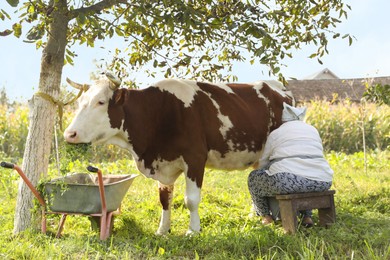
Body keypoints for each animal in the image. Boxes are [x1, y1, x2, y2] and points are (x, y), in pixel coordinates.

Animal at [64, 71, 294, 236]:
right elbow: (164, 200)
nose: (69, 133)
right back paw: (254, 216)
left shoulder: (195, 159)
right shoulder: (163, 164)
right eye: (79, 103)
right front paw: (162, 230)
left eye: (101, 102)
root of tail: (278, 86)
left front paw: (193, 230)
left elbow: (191, 200)